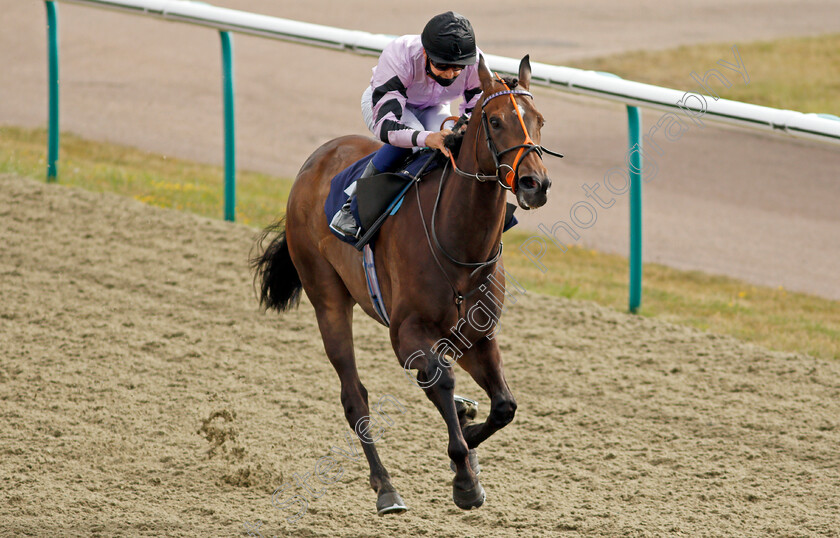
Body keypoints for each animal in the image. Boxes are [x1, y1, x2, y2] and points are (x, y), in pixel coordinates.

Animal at [253, 56, 560, 512]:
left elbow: (505, 404)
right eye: (495, 120)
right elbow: (440, 379)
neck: (458, 240)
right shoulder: (406, 333)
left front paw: (469, 436)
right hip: (327, 300)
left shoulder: (477, 334)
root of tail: (317, 158)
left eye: (539, 120)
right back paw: (385, 488)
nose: (534, 184)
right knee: (354, 397)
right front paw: (464, 477)